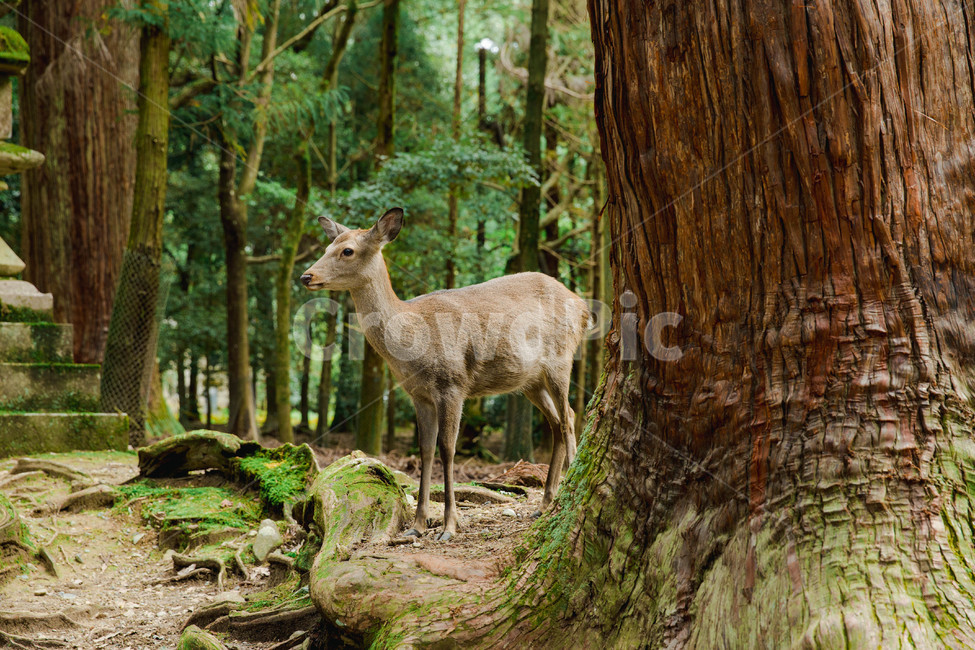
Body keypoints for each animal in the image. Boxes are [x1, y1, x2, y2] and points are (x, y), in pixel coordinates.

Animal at [300, 207, 591, 541]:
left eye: (347, 250)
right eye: (327, 246)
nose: (306, 276)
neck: (410, 338)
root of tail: (584, 306)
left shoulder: (452, 384)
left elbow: (448, 449)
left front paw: (450, 525)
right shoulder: (419, 394)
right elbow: (425, 450)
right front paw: (417, 525)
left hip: (561, 359)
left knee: (569, 418)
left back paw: (565, 491)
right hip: (530, 380)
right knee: (558, 420)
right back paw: (544, 504)